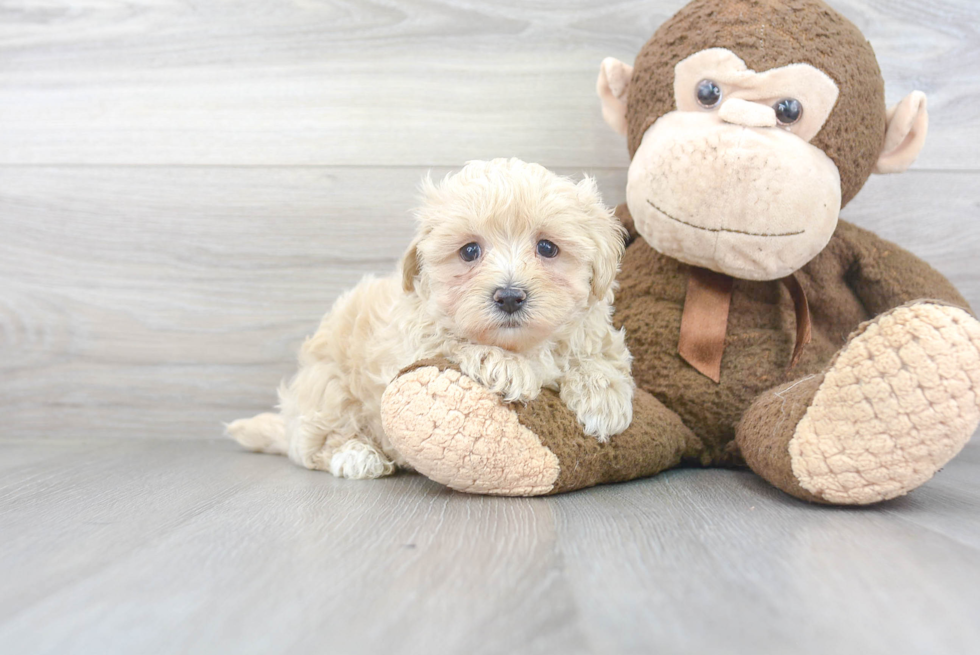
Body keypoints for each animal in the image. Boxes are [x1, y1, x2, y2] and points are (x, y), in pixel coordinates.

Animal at [226, 158, 632, 476]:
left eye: (548, 248)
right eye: (469, 251)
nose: (509, 296)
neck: (523, 344)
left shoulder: (596, 333)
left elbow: (598, 356)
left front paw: (603, 398)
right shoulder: (412, 348)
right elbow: (455, 343)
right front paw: (505, 366)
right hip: (327, 387)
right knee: (317, 444)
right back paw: (356, 455)